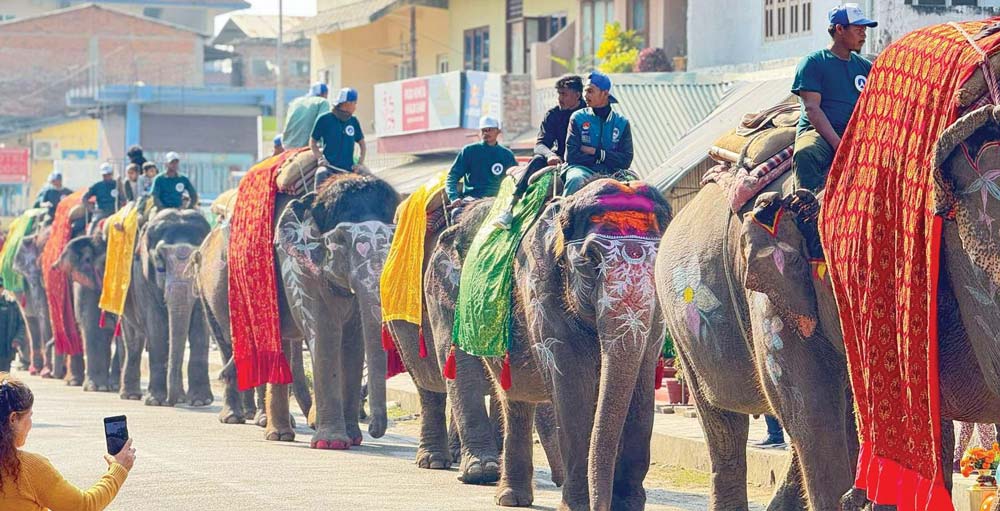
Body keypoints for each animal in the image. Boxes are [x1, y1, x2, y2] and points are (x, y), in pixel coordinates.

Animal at [56, 234, 124, 394]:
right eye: (108, 263)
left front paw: (114, 386)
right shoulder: (85, 284)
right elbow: (94, 328)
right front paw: (97, 388)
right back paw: (74, 382)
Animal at [121, 209, 215, 408]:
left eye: (198, 262)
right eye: (159, 265)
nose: (169, 403)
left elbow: (200, 327)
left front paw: (200, 401)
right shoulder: (142, 275)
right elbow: (157, 328)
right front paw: (155, 401)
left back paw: (179, 397)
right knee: (133, 341)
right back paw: (131, 396)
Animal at [272, 175, 400, 448]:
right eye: (340, 241)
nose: (373, 429)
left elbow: (354, 340)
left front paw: (353, 439)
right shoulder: (302, 266)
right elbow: (325, 331)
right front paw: (330, 443)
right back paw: (277, 433)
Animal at [424, 178, 672, 510]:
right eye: (591, 259)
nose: (603, 504)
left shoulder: (655, 312)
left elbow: (643, 381)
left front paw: (627, 507)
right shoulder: (540, 285)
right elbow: (571, 383)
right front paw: (577, 507)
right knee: (506, 394)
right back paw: (503, 491)